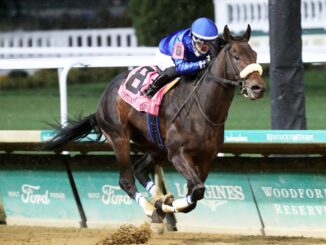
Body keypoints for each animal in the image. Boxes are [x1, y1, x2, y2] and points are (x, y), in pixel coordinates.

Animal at [42, 25, 264, 234]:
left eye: (255, 55)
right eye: (236, 56)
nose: (258, 88)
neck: (203, 109)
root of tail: (103, 98)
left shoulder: (206, 158)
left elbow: (194, 194)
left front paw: (164, 204)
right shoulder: (177, 154)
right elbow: (197, 190)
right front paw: (161, 206)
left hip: (156, 146)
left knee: (140, 169)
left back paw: (158, 201)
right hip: (119, 137)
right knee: (126, 179)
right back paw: (151, 208)